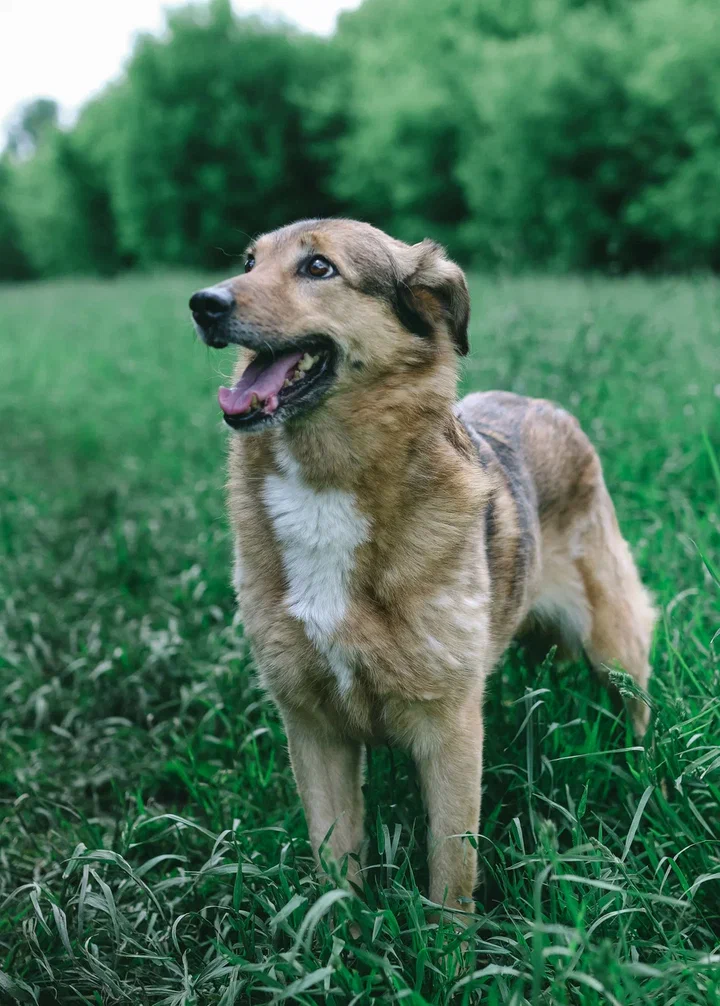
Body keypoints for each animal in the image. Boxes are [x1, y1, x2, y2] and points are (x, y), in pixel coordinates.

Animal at [188, 224, 655, 917]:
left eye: (319, 267)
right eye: (248, 262)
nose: (203, 303)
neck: (326, 485)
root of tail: (547, 404)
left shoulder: (450, 732)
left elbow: (451, 874)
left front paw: (449, 949)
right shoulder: (313, 729)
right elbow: (336, 871)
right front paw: (344, 942)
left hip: (614, 643)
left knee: (638, 712)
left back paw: (645, 782)